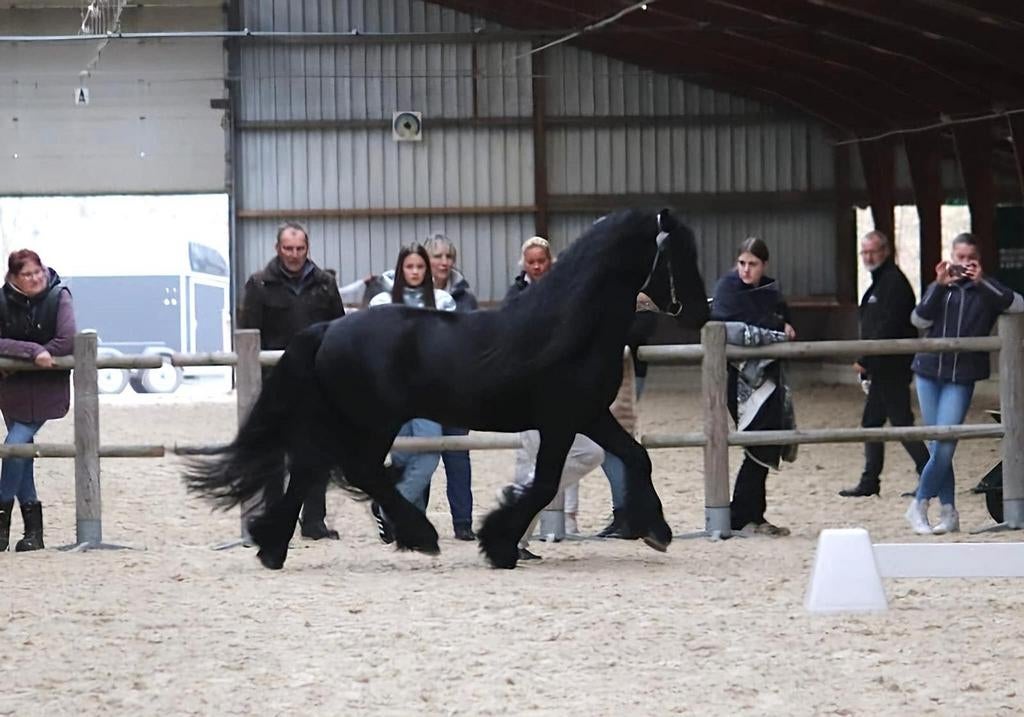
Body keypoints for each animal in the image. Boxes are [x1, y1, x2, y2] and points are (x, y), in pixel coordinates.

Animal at [185, 208, 709, 569]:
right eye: (679, 252)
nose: (701, 311)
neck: (569, 326)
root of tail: (328, 329)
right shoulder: (561, 422)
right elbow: (544, 483)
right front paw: (499, 544)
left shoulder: (590, 415)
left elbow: (636, 457)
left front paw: (656, 529)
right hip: (373, 421)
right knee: (356, 470)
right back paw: (420, 535)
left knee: (317, 469)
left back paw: (274, 548)